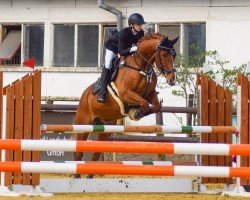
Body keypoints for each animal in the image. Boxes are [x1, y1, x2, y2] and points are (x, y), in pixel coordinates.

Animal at [73, 32, 179, 178]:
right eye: (163, 55)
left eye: (174, 55)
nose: (172, 80)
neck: (141, 67)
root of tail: (85, 94)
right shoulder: (125, 93)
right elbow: (144, 103)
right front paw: (135, 112)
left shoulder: (150, 93)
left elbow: (156, 106)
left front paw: (136, 111)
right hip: (83, 124)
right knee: (78, 151)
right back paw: (76, 176)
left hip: (105, 127)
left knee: (95, 154)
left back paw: (89, 175)